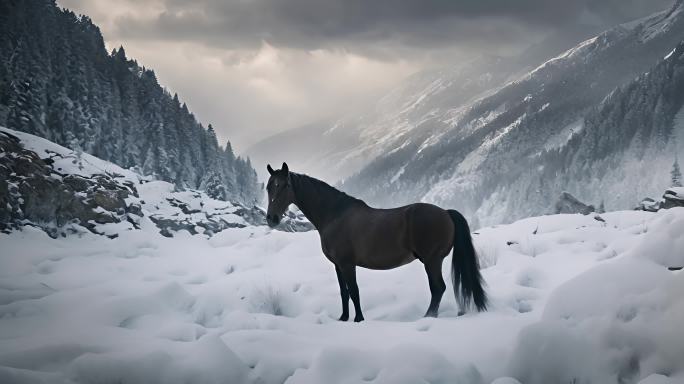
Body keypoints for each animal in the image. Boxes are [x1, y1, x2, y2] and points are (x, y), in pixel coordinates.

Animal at [266, 161, 486, 320]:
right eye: (268, 188)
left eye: (284, 185)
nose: (271, 219)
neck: (335, 215)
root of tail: (446, 213)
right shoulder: (337, 265)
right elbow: (344, 293)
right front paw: (343, 319)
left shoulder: (347, 264)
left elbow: (354, 292)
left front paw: (359, 320)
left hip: (432, 261)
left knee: (438, 289)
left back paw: (428, 317)